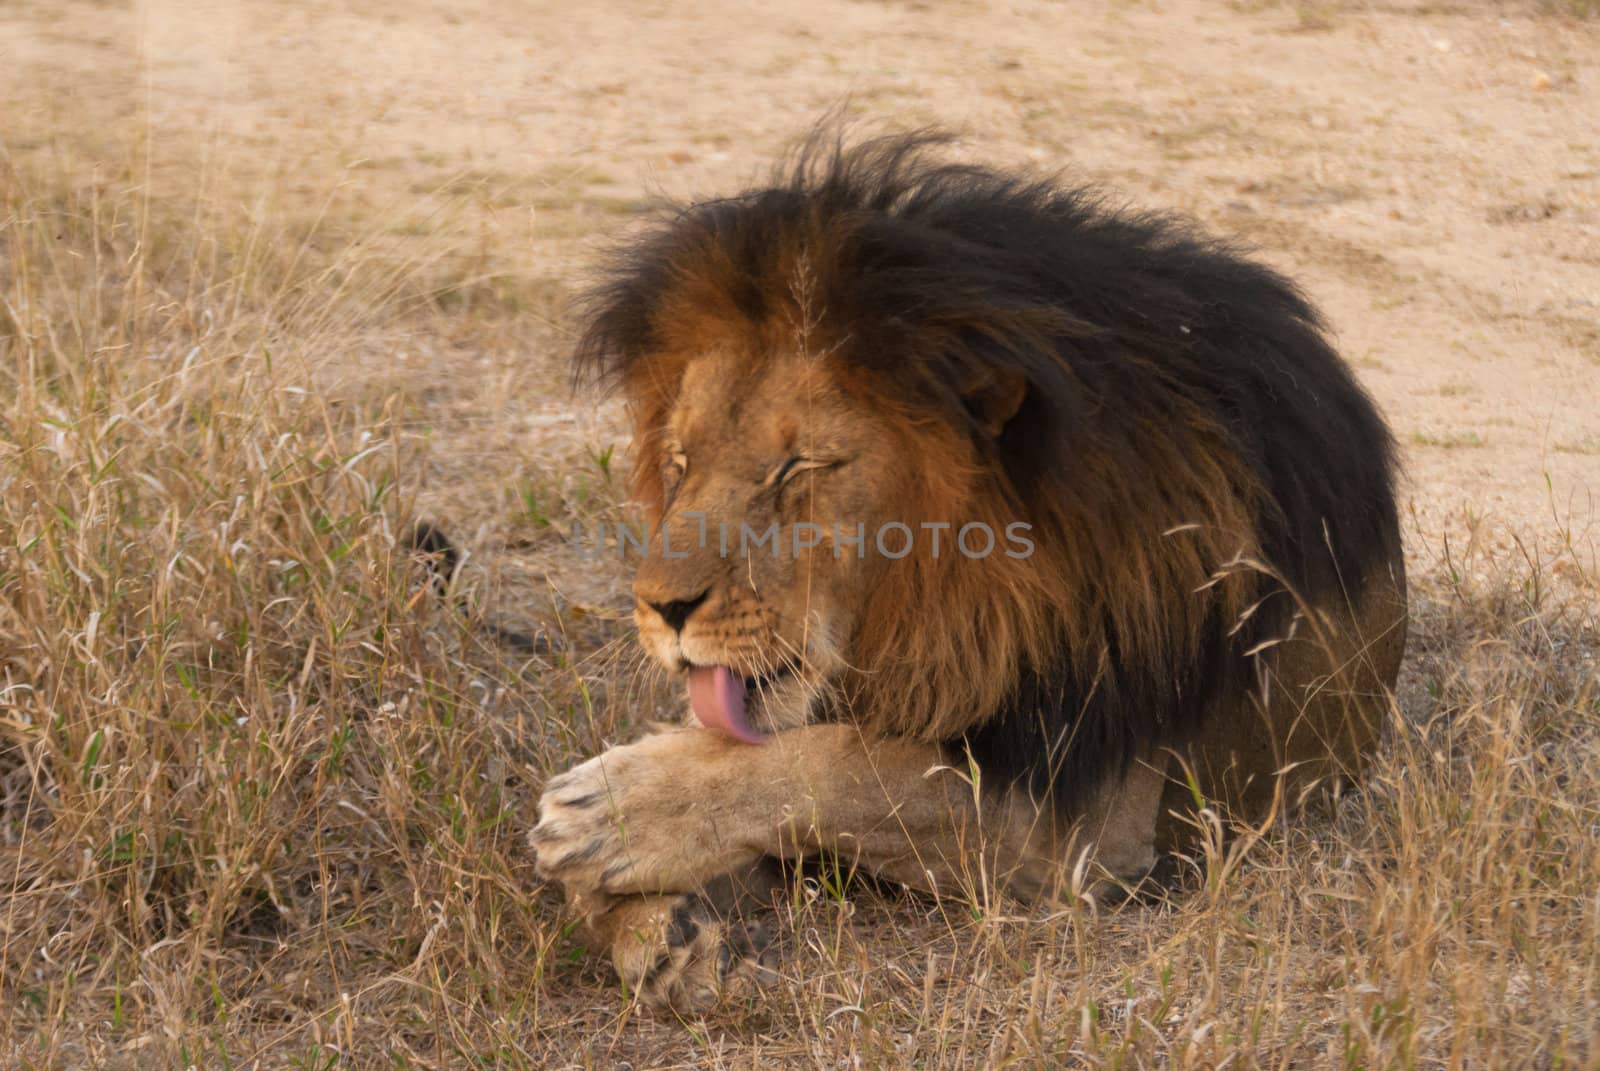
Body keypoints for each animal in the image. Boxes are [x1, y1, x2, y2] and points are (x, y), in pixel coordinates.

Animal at [531, 131, 1408, 1011]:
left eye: (798, 466)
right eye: (680, 462)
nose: (660, 609)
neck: (942, 600)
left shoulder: (1088, 832)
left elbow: (855, 769)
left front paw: (611, 812)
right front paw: (657, 922)